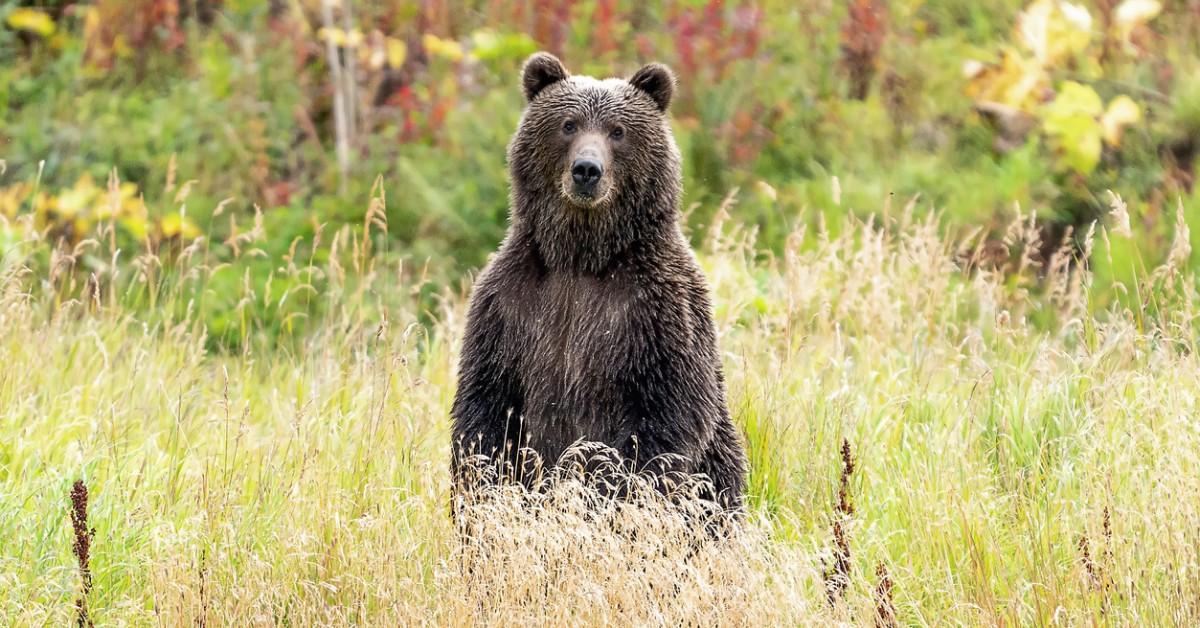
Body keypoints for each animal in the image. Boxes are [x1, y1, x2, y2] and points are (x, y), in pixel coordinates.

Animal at [451, 50, 744, 511]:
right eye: (568, 124)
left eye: (618, 131)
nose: (587, 169)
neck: (582, 257)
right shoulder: (508, 305)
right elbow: (486, 408)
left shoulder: (656, 309)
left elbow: (665, 416)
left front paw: (610, 495)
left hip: (720, 461)